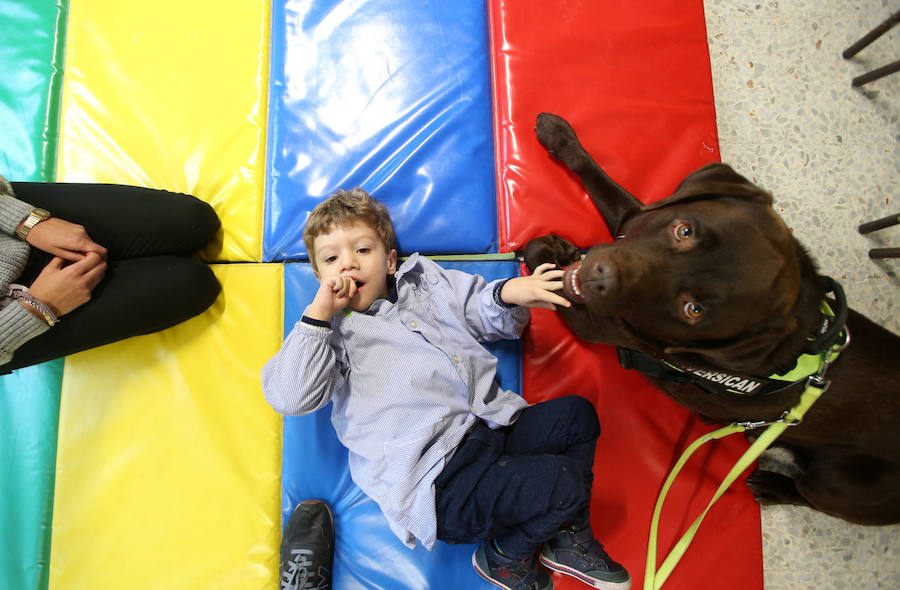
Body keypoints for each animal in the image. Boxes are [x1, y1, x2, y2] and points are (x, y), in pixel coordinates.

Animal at [524, 112, 900, 528]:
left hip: (842, 485)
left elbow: (544, 270)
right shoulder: (635, 218)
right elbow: (596, 173)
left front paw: (543, 255)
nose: (599, 276)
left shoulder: (597, 324)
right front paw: (560, 136)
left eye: (694, 310)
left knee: (808, 495)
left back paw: (772, 485)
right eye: (683, 230)